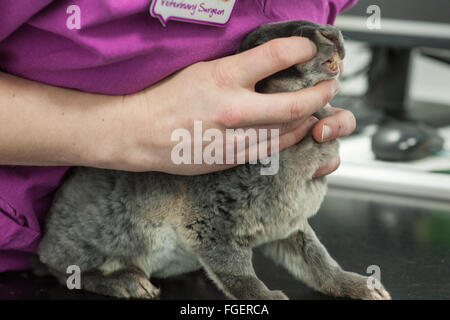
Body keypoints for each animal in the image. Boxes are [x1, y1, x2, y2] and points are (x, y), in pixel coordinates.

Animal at [36, 20, 390, 300]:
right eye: (270, 43)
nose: (331, 32)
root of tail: (45, 240)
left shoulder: (290, 226)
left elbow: (318, 263)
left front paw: (363, 287)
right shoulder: (212, 221)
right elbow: (236, 272)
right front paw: (268, 297)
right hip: (103, 237)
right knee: (66, 271)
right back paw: (127, 283)